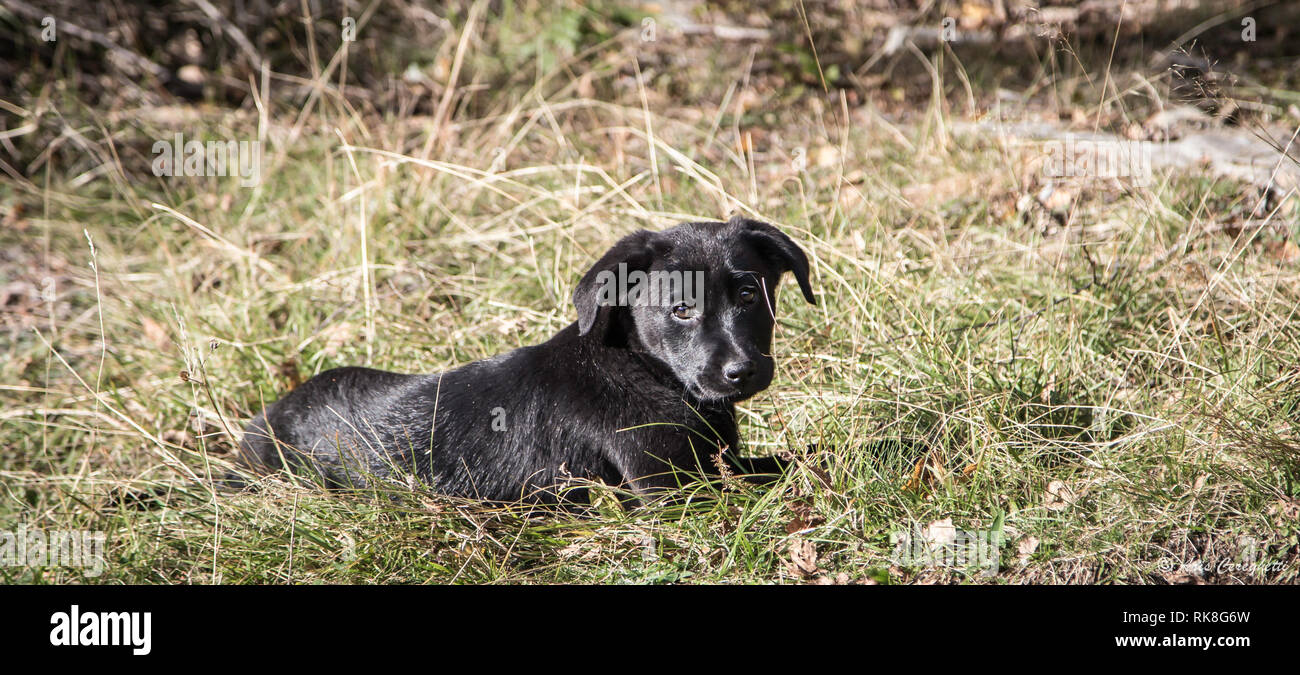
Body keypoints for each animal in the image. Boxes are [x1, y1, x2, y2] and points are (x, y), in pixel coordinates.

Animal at [233, 215, 811, 502]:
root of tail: (256, 429)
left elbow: (791, 459)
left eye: (749, 295)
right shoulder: (676, 491)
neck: (648, 373)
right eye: (682, 309)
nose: (742, 370)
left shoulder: (721, 465)